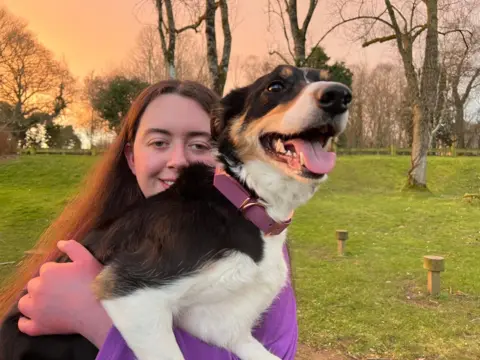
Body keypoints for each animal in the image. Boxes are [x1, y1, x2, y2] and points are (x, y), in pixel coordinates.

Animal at [0, 65, 352, 360]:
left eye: (325, 77)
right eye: (276, 86)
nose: (340, 95)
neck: (246, 202)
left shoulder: (223, 326)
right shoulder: (131, 292)